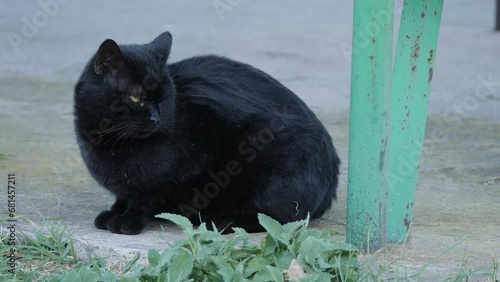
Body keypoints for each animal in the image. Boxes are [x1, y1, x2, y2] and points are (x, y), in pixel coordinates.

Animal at [74, 30, 340, 235]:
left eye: (163, 97)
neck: (108, 143)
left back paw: (220, 221)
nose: (155, 118)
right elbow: (125, 193)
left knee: (276, 219)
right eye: (135, 98)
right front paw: (116, 210)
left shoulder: (196, 158)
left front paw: (128, 220)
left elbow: (147, 196)